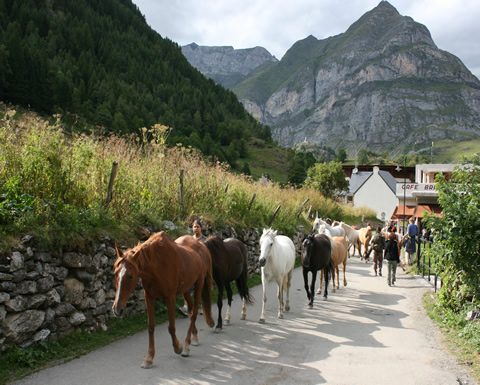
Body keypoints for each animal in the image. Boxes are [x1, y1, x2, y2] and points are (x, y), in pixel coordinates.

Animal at [112, 230, 214, 368]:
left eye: (130, 276)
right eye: (115, 273)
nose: (117, 309)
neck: (156, 265)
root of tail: (203, 247)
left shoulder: (170, 297)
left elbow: (171, 327)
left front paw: (178, 347)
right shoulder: (149, 296)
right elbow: (150, 327)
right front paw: (149, 357)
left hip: (199, 283)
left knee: (194, 313)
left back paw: (187, 346)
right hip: (186, 288)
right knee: (191, 308)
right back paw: (195, 337)